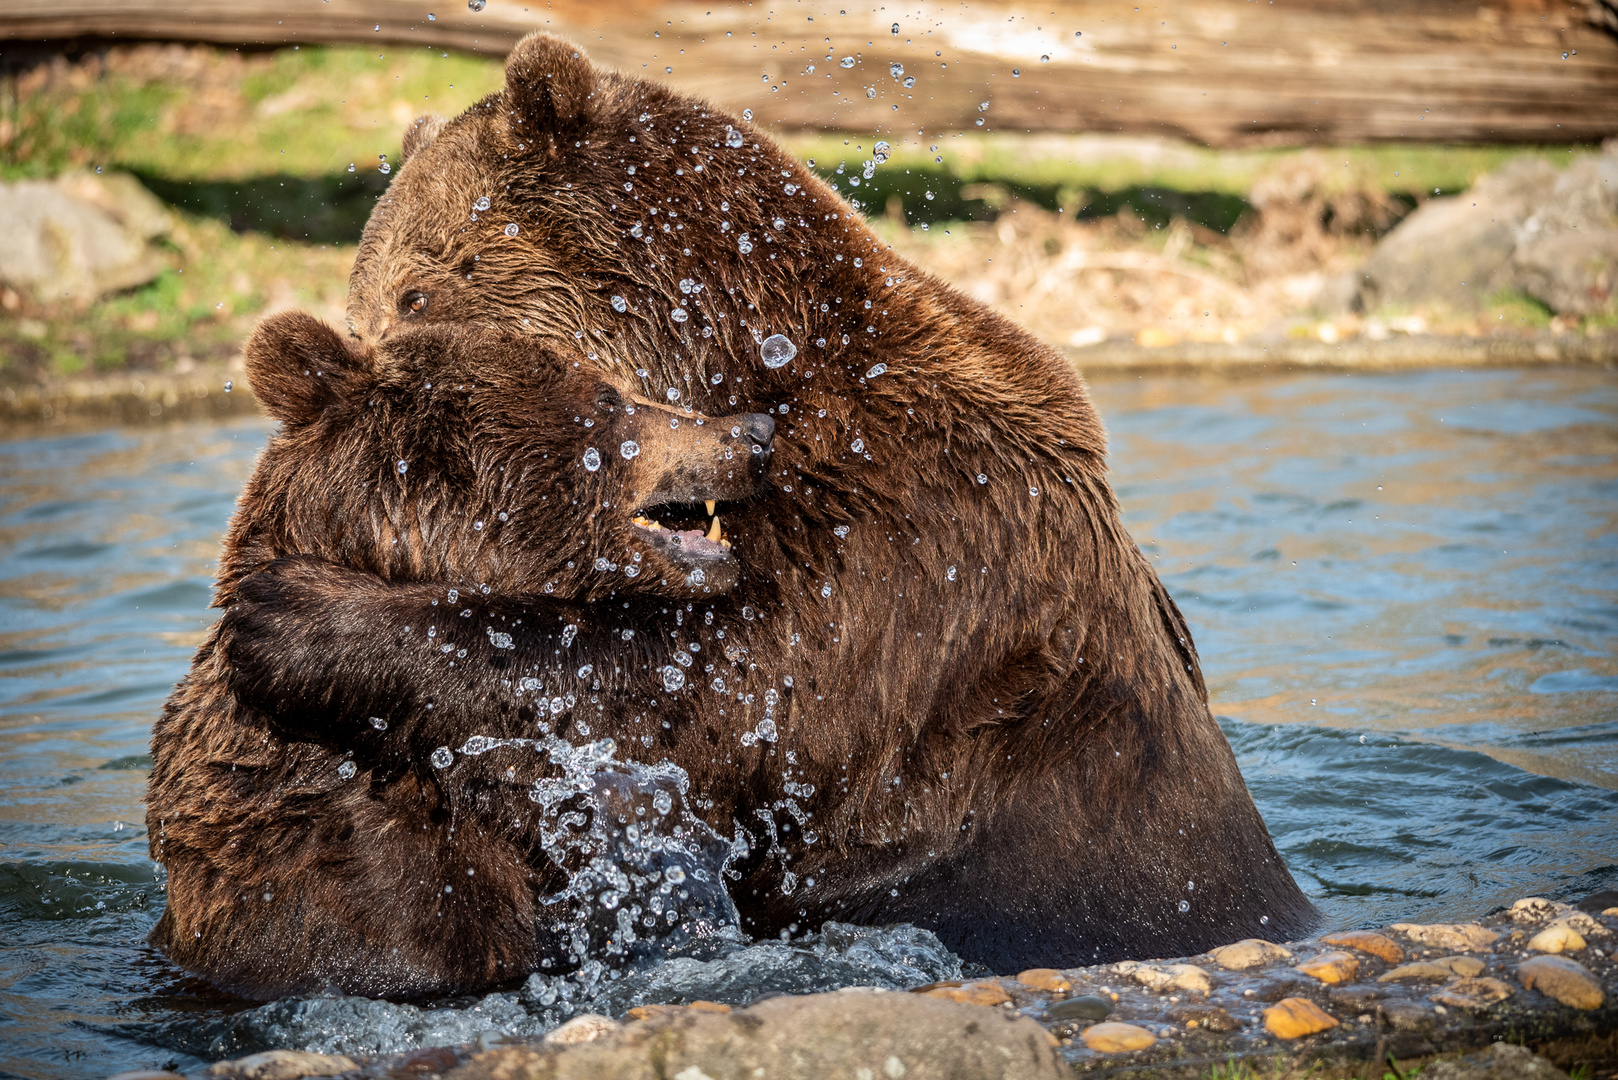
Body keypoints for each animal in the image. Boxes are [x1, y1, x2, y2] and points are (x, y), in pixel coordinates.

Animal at [148, 29, 1313, 997]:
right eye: (374, 295)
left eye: (416, 292)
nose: (340, 374)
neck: (744, 365)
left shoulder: (915, 541)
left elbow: (718, 687)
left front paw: (299, 615)